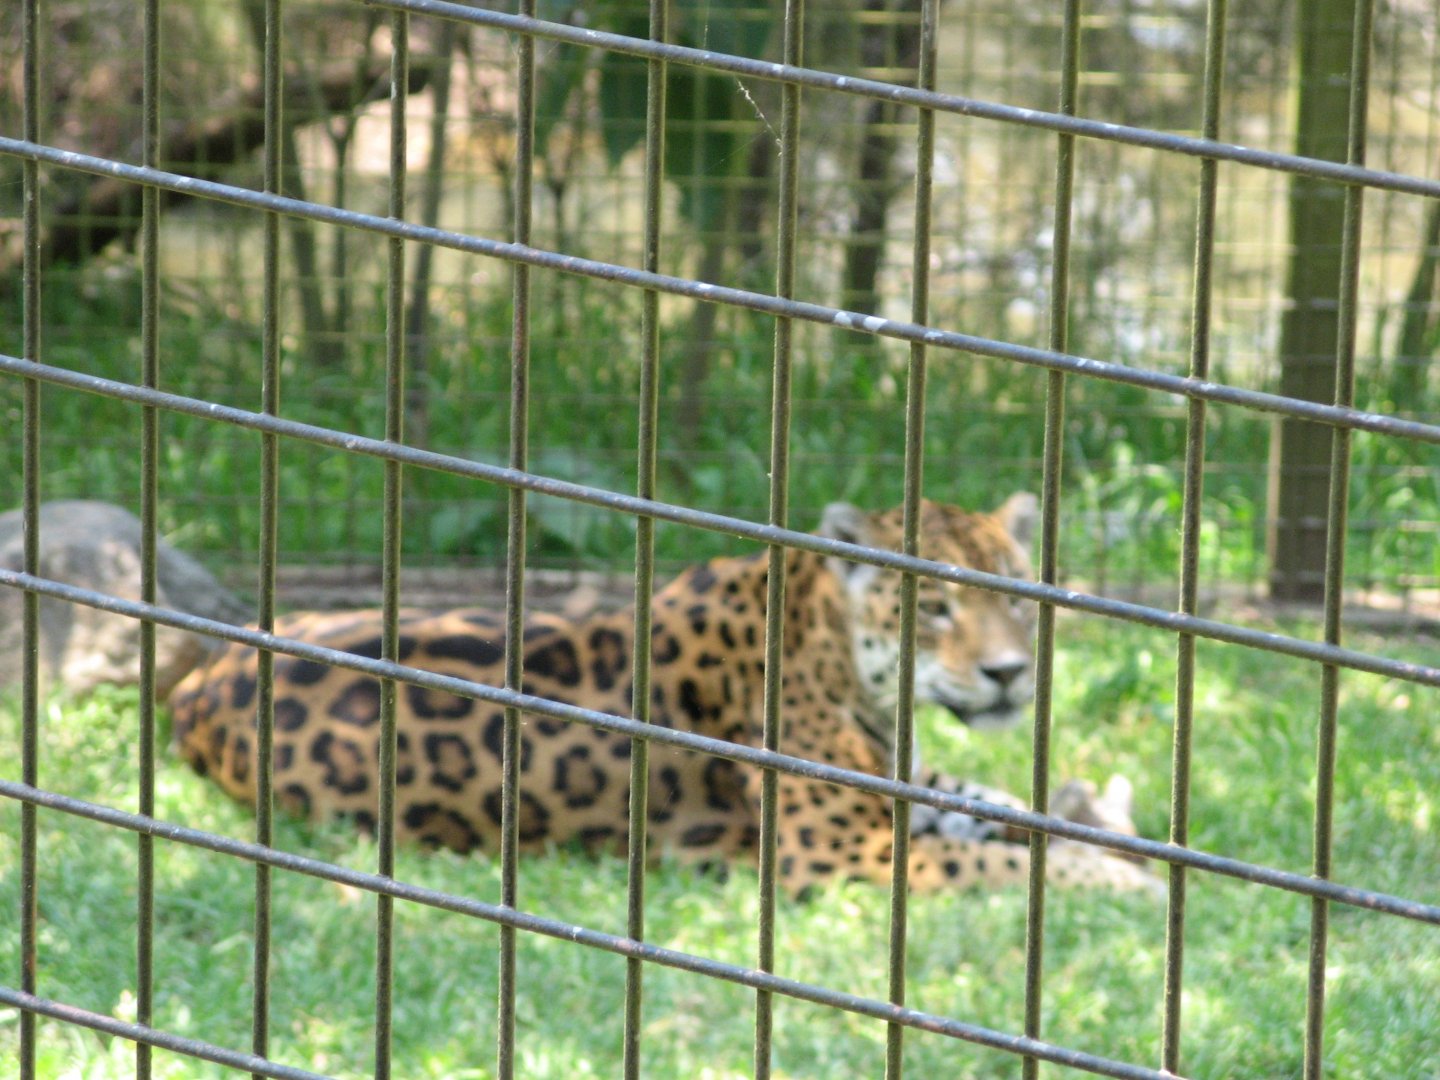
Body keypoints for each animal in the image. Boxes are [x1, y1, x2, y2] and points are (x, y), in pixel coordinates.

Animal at [168, 494, 1159, 895]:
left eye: (1015, 597)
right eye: (935, 609)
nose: (1009, 672)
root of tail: (194, 691)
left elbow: (1000, 808)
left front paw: (1115, 837)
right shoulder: (844, 856)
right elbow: (1009, 867)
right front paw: (1127, 886)